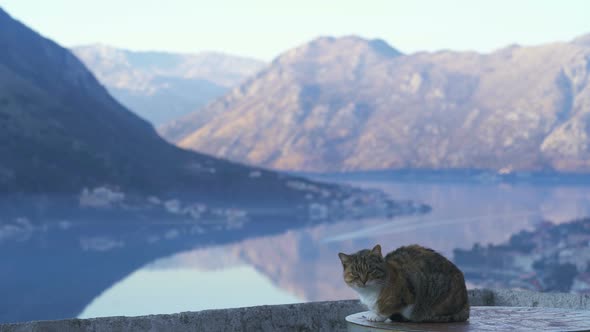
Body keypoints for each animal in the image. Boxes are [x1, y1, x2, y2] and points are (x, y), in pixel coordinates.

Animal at [338, 243, 472, 322]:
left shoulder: (408, 294)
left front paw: (377, 315)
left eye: (371, 270)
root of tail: (466, 303)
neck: (369, 293)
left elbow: (389, 308)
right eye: (355, 273)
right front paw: (371, 312)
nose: (363, 281)